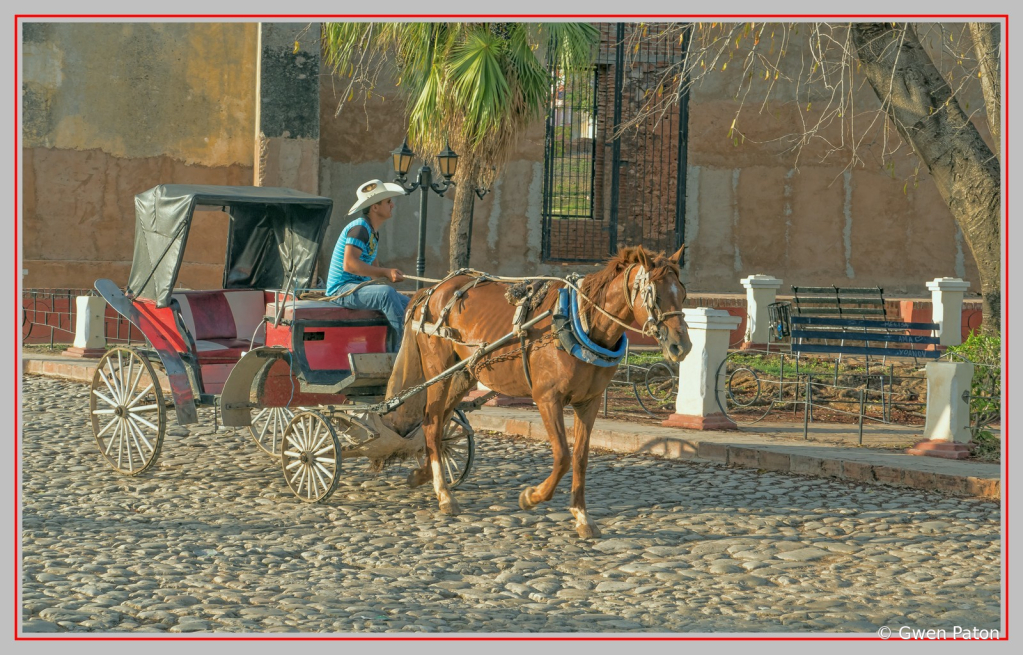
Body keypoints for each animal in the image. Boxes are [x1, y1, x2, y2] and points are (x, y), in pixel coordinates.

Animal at [384, 245, 695, 536]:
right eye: (654, 295)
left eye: (682, 293)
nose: (682, 346)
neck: (579, 322)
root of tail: (432, 289)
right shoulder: (547, 399)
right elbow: (563, 456)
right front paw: (532, 496)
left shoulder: (590, 402)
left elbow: (580, 458)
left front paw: (582, 516)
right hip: (438, 369)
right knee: (433, 421)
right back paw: (443, 494)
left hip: (464, 373)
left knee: (439, 422)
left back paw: (423, 474)